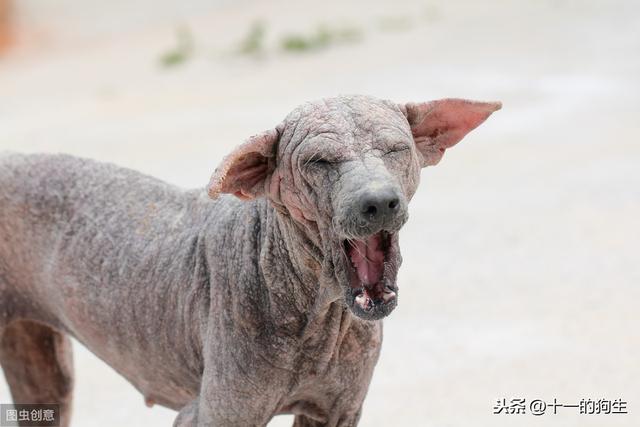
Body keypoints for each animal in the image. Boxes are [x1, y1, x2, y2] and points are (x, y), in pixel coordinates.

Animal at [0, 95, 500, 426]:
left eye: (396, 149)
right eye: (319, 162)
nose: (378, 202)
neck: (315, 314)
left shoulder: (337, 413)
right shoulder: (211, 414)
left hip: (44, 377)